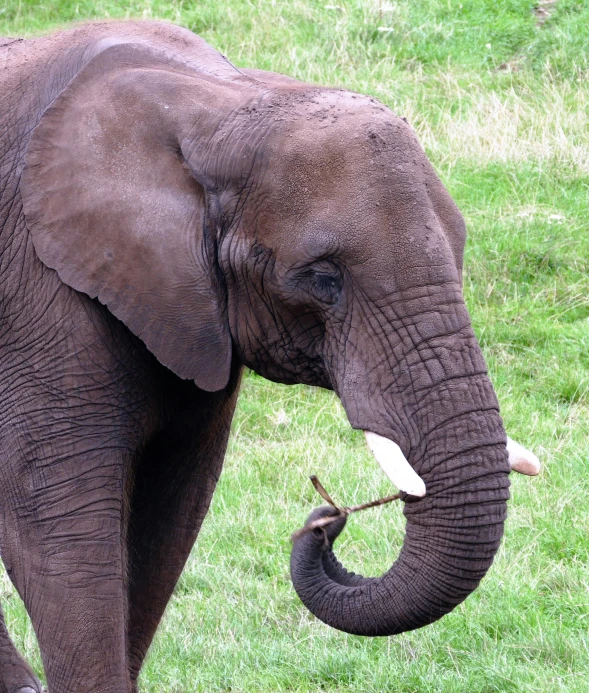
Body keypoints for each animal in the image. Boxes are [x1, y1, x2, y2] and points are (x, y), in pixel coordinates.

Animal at [0, 18, 540, 688]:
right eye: (323, 278)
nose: (324, 520)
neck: (216, 103)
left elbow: (167, 518)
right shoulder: (35, 296)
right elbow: (58, 530)